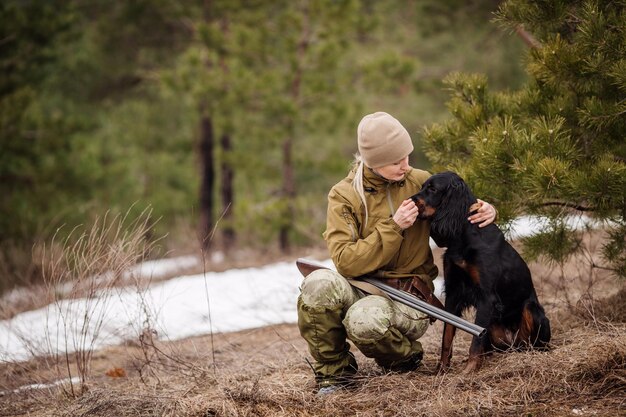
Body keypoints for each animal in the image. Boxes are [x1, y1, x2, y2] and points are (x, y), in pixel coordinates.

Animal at [412, 171, 548, 372]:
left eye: (433, 189)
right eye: (422, 186)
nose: (409, 200)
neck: (464, 234)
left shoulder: (486, 297)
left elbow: (475, 340)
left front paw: (469, 370)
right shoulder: (453, 293)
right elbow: (447, 335)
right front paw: (442, 369)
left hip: (532, 310)